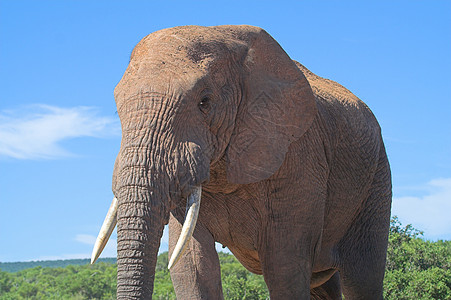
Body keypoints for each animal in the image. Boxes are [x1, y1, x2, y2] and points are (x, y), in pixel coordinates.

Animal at [92, 25, 392, 300]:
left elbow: (285, 266)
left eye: (204, 102)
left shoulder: (299, 156)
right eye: (118, 108)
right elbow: (192, 267)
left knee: (363, 276)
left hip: (376, 178)